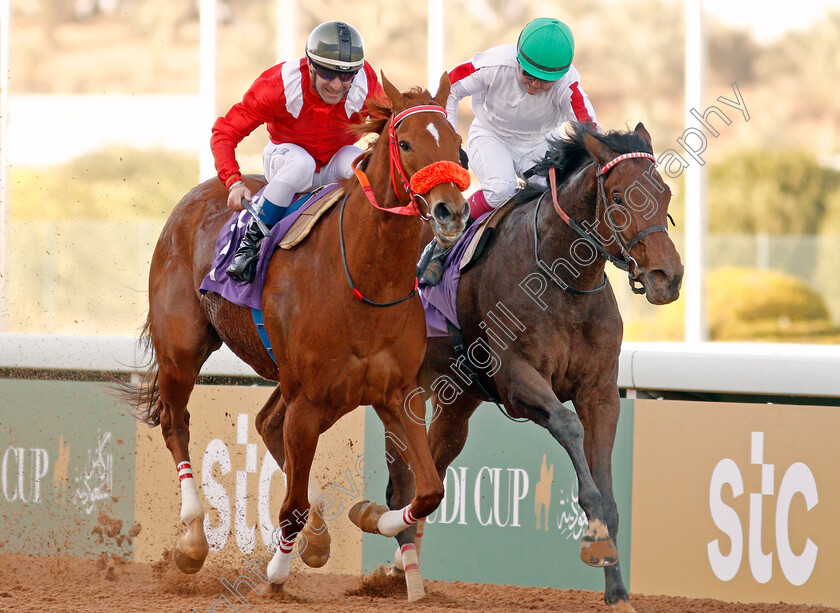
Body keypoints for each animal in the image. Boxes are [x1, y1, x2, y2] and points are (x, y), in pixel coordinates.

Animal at [120, 71, 472, 584]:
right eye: (405, 143)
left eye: (457, 145)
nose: (451, 211)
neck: (364, 278)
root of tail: (192, 199)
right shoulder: (307, 399)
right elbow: (290, 508)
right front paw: (276, 573)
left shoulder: (397, 392)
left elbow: (427, 491)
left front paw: (369, 516)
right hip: (182, 350)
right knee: (175, 422)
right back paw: (192, 537)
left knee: (267, 426)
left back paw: (318, 535)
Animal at [380, 120, 684, 608]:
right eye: (619, 197)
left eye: (666, 193)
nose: (667, 277)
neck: (562, 279)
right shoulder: (517, 380)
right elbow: (567, 425)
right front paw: (594, 536)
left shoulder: (600, 391)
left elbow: (608, 487)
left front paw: (617, 591)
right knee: (396, 478)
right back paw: (404, 574)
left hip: (457, 399)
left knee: (433, 469)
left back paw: (403, 566)